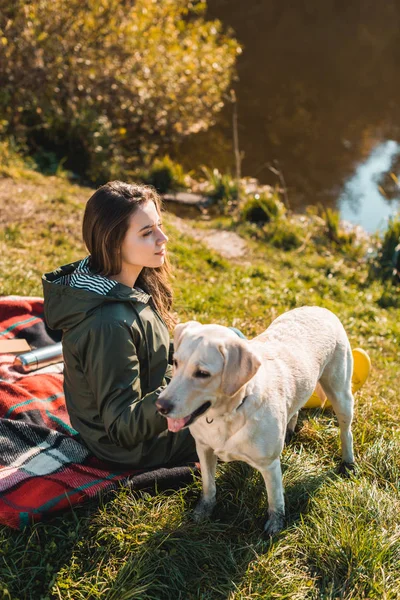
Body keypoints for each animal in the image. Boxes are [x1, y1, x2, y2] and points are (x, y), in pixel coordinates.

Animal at [155, 308, 354, 532]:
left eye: (202, 373)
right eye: (175, 362)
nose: (160, 406)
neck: (228, 414)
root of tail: (319, 308)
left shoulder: (269, 465)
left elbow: (275, 499)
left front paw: (275, 526)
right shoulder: (203, 448)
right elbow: (208, 485)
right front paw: (203, 511)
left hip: (340, 394)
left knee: (346, 431)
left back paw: (348, 463)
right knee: (295, 407)